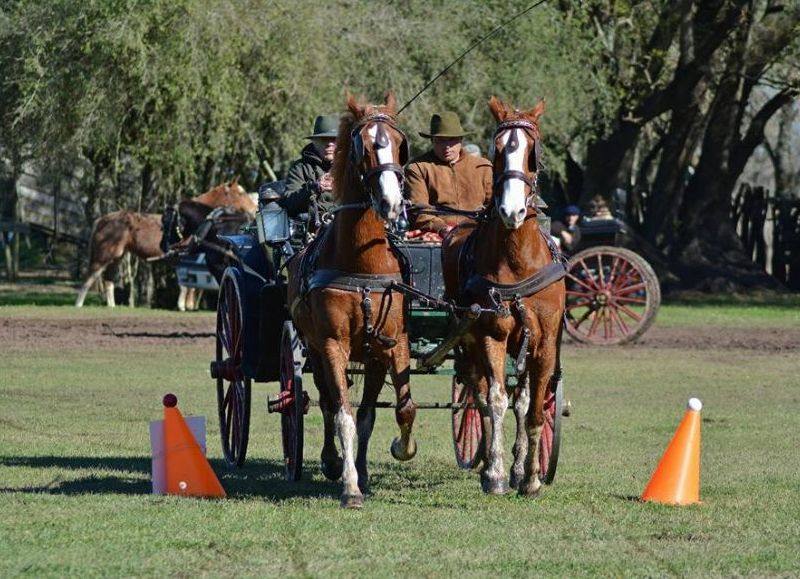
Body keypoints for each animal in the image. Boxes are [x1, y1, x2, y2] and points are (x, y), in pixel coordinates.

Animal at [288, 89, 416, 508]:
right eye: (364, 146)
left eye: (400, 144)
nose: (391, 202)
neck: (361, 262)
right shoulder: (332, 344)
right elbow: (342, 414)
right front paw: (350, 486)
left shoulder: (391, 344)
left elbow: (392, 411)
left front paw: (397, 451)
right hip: (312, 347)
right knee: (327, 403)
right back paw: (331, 463)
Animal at [440, 97, 564, 496]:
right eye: (496, 151)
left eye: (532, 152)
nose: (511, 211)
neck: (519, 259)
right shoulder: (491, 335)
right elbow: (495, 400)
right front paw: (494, 473)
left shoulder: (545, 343)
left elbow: (535, 408)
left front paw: (531, 477)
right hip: (470, 342)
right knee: (478, 394)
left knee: (522, 400)